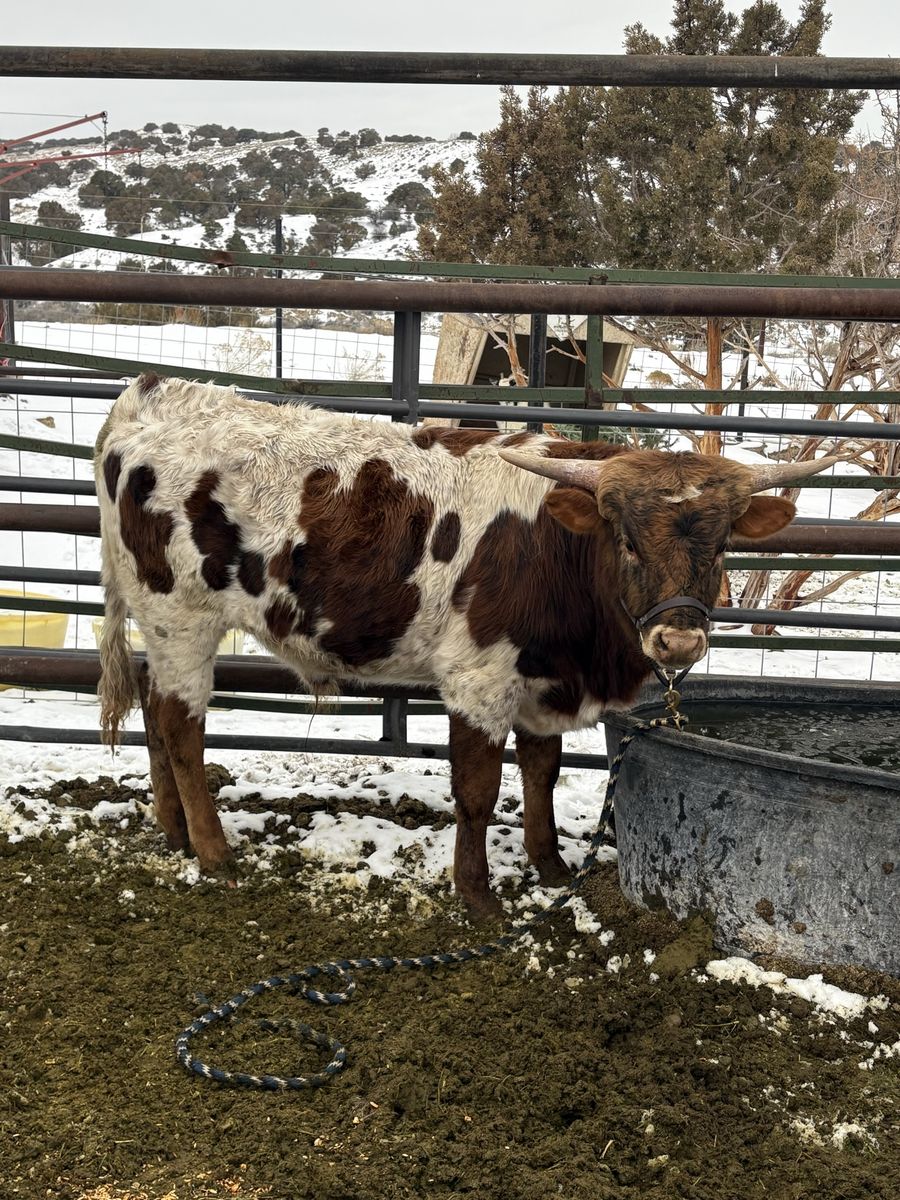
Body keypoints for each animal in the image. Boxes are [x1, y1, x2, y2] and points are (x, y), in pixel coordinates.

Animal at [95, 374, 834, 915]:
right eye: (624, 537)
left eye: (723, 544)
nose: (677, 638)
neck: (553, 547)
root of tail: (156, 394)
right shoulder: (480, 680)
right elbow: (477, 791)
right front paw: (476, 895)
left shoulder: (545, 680)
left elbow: (541, 771)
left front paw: (549, 864)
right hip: (183, 616)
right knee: (180, 728)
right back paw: (214, 851)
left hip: (164, 628)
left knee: (156, 718)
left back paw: (174, 831)